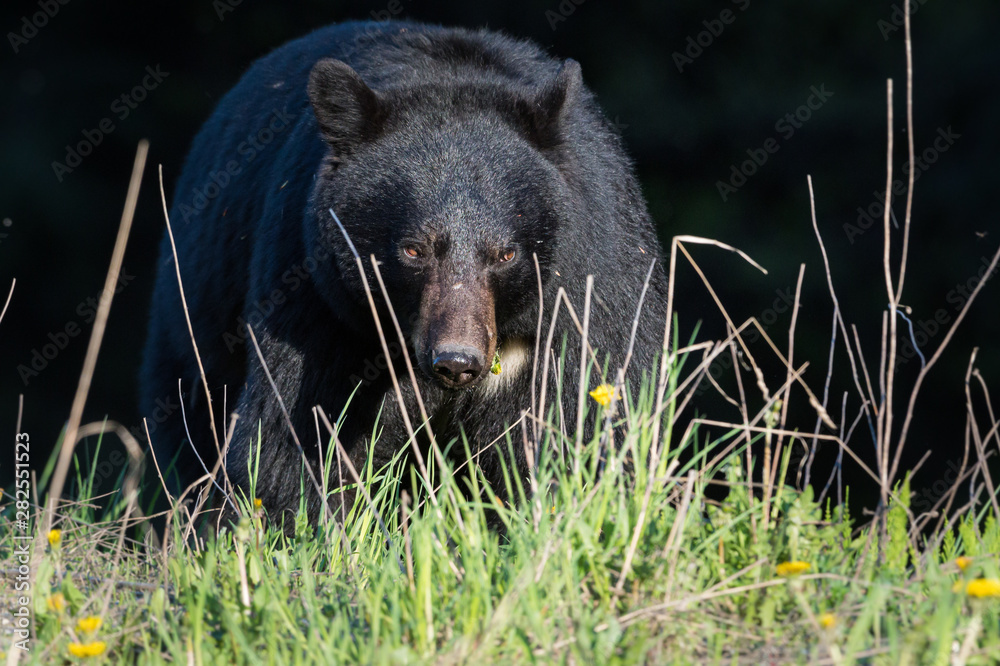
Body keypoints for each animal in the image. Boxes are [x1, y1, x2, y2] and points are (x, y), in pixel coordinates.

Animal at [140, 20, 670, 531]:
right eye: (414, 250)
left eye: (505, 254)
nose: (457, 361)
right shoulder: (320, 299)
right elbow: (294, 437)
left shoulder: (586, 291)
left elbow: (581, 421)